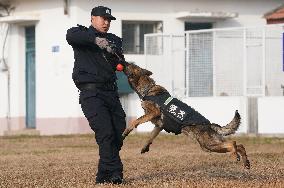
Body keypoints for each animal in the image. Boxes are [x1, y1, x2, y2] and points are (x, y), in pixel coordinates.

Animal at [121, 61, 250, 169]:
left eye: (130, 65)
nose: (124, 60)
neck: (148, 89)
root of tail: (209, 125)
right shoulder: (159, 125)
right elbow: (151, 136)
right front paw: (145, 147)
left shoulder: (153, 113)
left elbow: (135, 121)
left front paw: (127, 130)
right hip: (211, 145)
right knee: (240, 145)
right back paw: (245, 162)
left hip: (208, 144)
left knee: (233, 143)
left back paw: (235, 156)